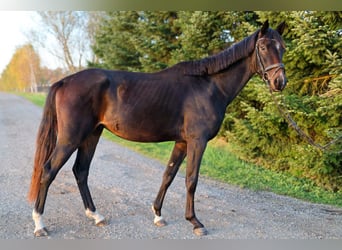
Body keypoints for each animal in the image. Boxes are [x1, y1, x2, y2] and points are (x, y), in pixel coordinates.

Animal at [28, 20, 288, 236]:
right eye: (263, 47)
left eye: (283, 47)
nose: (279, 82)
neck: (209, 86)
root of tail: (64, 81)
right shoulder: (197, 141)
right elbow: (191, 179)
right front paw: (195, 222)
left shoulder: (182, 142)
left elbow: (168, 175)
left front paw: (158, 215)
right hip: (71, 138)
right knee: (48, 170)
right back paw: (40, 223)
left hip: (92, 134)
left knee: (81, 171)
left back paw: (96, 215)